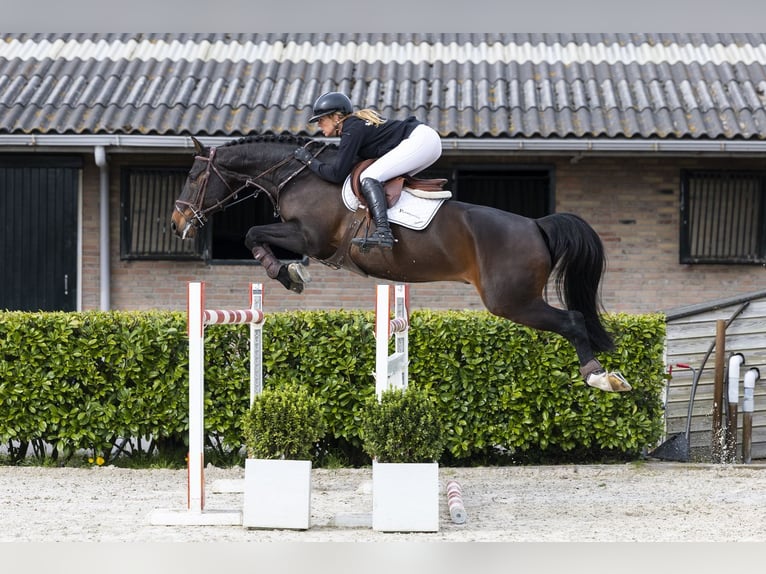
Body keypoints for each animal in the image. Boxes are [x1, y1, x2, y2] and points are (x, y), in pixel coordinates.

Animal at [171, 134, 631, 392]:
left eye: (193, 178)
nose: (177, 223)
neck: (298, 177)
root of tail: (536, 224)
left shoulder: (309, 238)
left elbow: (254, 234)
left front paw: (288, 273)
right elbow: (255, 236)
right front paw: (287, 273)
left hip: (511, 301)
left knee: (572, 320)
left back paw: (600, 377)